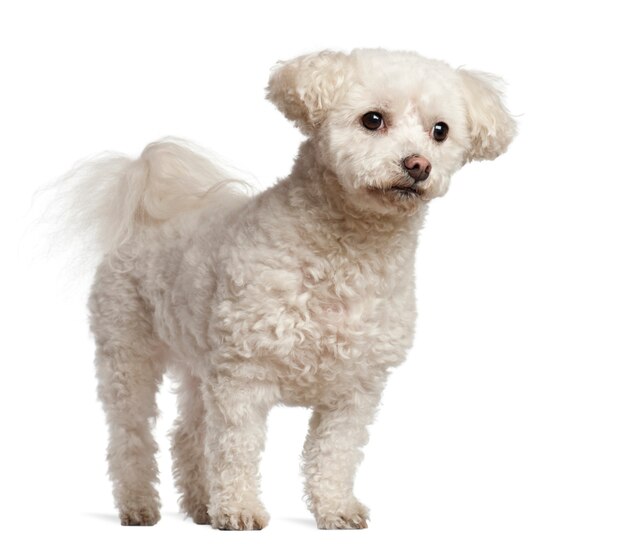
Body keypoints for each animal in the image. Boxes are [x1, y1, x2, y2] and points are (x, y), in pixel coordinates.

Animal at [73, 49, 516, 528]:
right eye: (373, 119)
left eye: (440, 130)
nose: (418, 165)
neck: (345, 256)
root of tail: (148, 214)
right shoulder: (243, 377)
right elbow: (236, 450)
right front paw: (240, 510)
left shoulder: (356, 390)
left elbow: (335, 453)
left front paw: (336, 509)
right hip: (127, 352)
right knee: (130, 435)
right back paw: (138, 504)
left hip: (198, 364)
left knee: (188, 433)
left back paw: (201, 504)